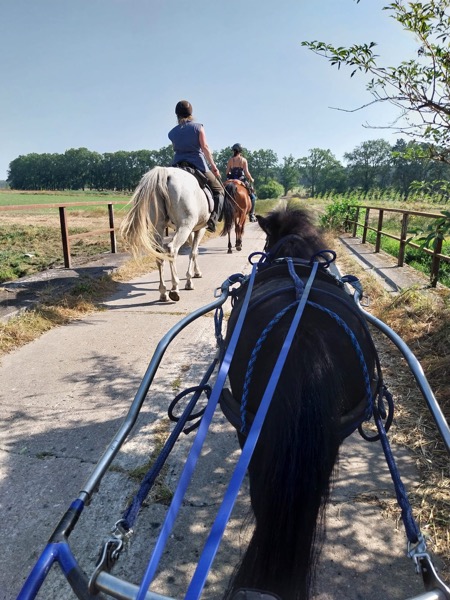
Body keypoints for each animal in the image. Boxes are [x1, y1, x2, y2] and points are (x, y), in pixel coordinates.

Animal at [121, 166, 234, 302]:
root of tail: (165, 173)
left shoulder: (192, 230)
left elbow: (194, 251)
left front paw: (196, 272)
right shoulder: (199, 229)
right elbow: (193, 252)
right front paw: (189, 281)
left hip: (158, 227)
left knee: (159, 254)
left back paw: (163, 292)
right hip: (184, 227)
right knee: (172, 250)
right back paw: (174, 288)